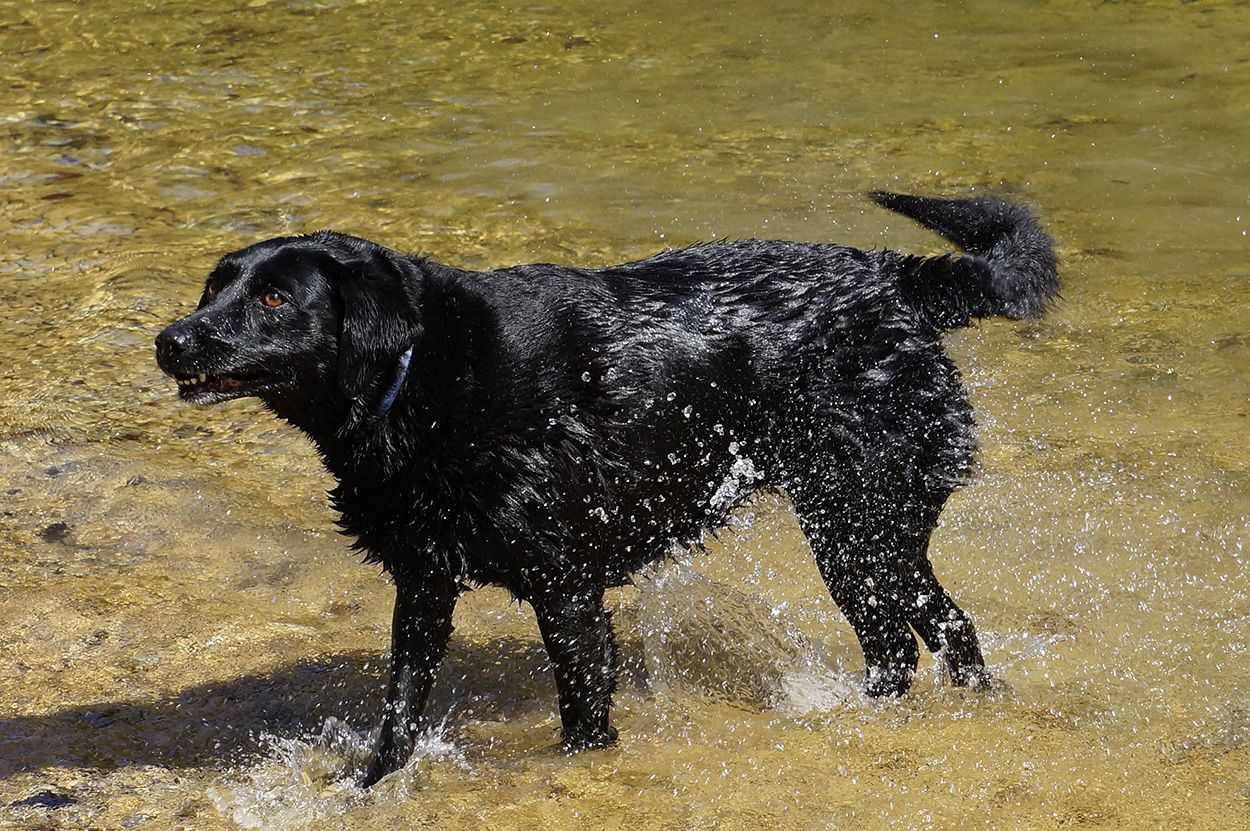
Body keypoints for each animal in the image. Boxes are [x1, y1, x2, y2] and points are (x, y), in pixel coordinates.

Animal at [153, 191, 1055, 779]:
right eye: (214, 287)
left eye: (275, 297)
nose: (170, 339)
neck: (420, 376)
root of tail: (896, 282)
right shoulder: (425, 579)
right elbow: (402, 704)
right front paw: (369, 785)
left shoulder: (567, 590)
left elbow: (582, 715)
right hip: (860, 536)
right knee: (916, 635)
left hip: (857, 522)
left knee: (930, 628)